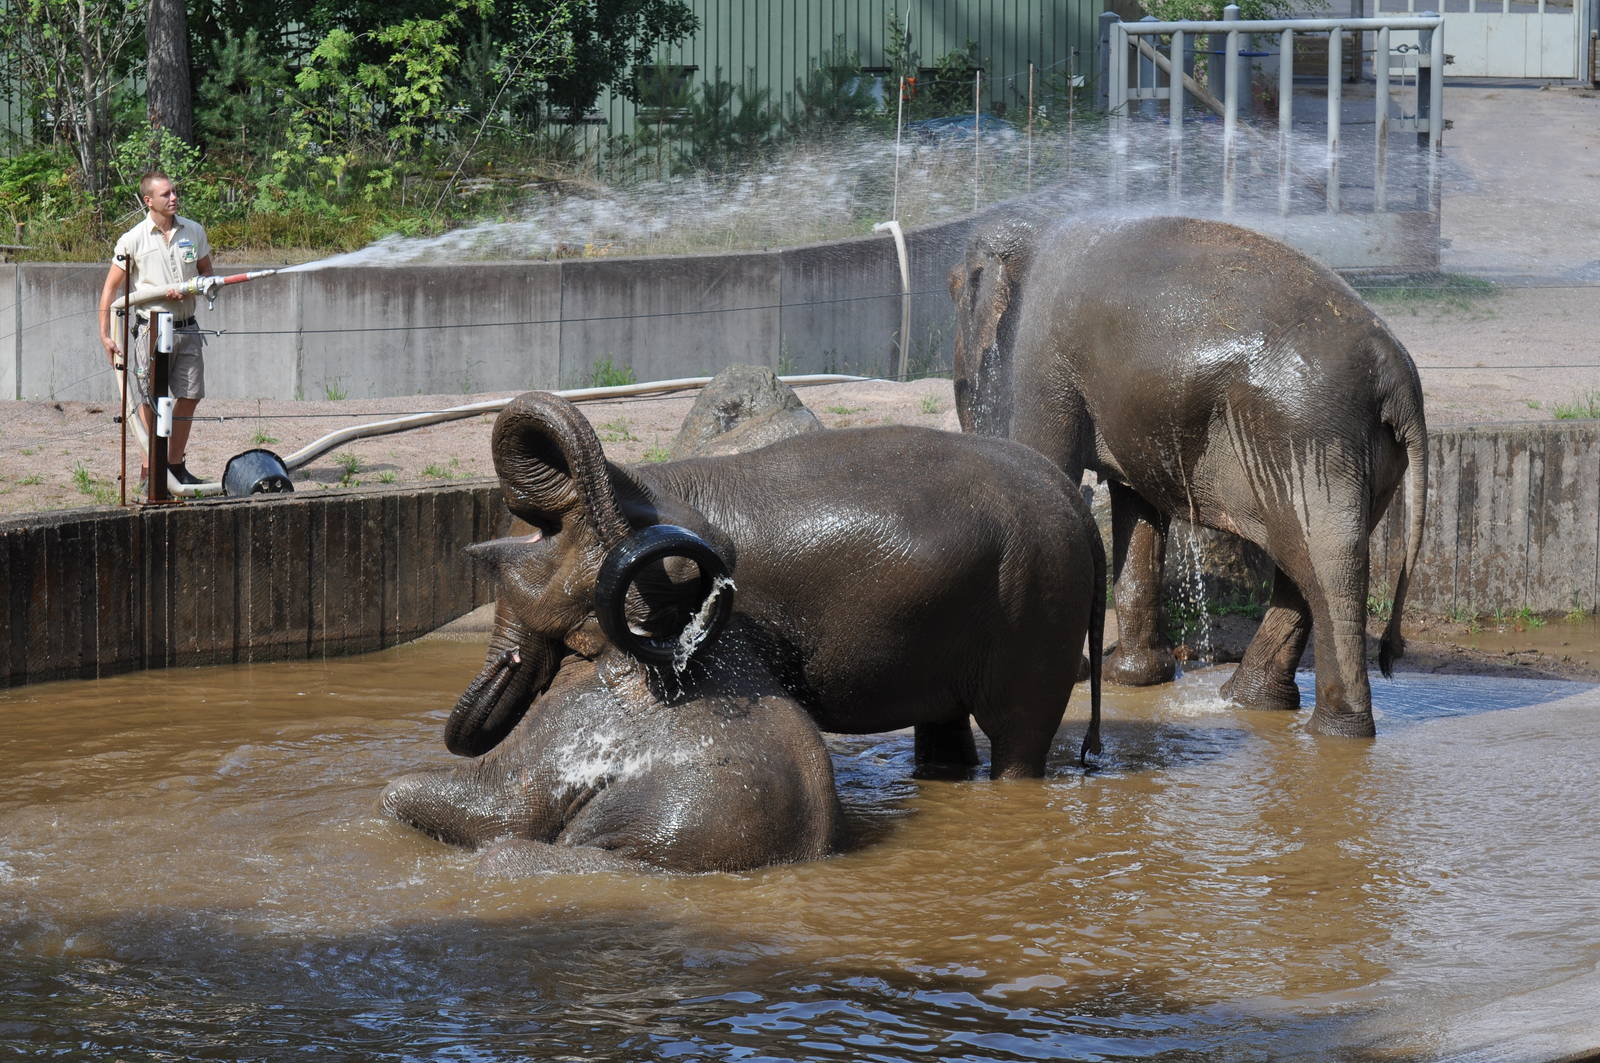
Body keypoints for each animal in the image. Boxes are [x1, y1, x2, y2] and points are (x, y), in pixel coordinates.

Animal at [950, 213, 1427, 738]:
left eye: (953, 289)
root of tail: (1397, 378)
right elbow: (1137, 508)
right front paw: (1134, 678)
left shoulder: (1043, 360)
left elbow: (1052, 463)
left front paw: (1075, 673)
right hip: (1358, 453)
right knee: (1307, 558)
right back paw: (1247, 702)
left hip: (1311, 431)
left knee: (1330, 564)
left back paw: (1333, 732)